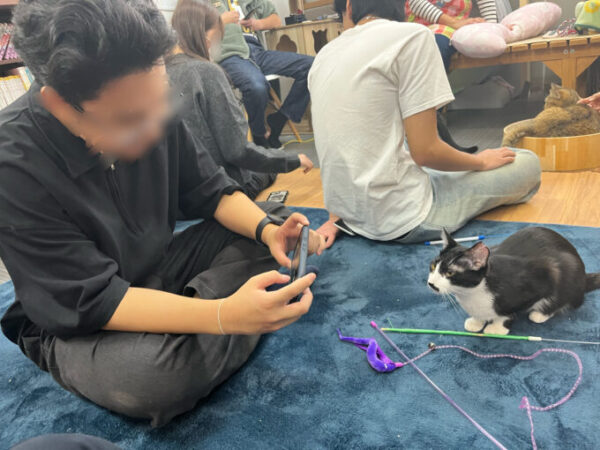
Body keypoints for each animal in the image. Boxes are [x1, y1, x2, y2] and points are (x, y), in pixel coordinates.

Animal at [427, 227, 600, 335]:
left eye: (449, 272)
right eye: (433, 265)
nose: (431, 284)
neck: (471, 293)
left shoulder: (543, 278)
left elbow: (508, 312)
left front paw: (497, 327)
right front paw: (477, 322)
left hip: (569, 271)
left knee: (564, 299)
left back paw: (540, 314)